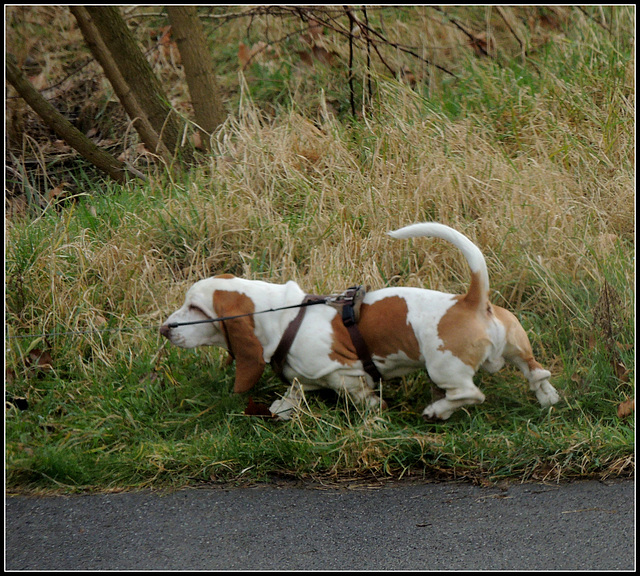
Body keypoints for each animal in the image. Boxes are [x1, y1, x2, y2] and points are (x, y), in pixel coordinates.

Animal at [160, 224, 560, 418]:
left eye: (195, 309)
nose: (164, 329)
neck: (282, 315)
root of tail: (471, 301)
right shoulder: (306, 375)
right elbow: (293, 392)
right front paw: (281, 410)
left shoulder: (344, 372)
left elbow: (358, 395)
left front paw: (375, 413)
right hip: (516, 348)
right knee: (536, 372)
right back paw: (547, 399)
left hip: (444, 367)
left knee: (470, 394)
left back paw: (437, 411)